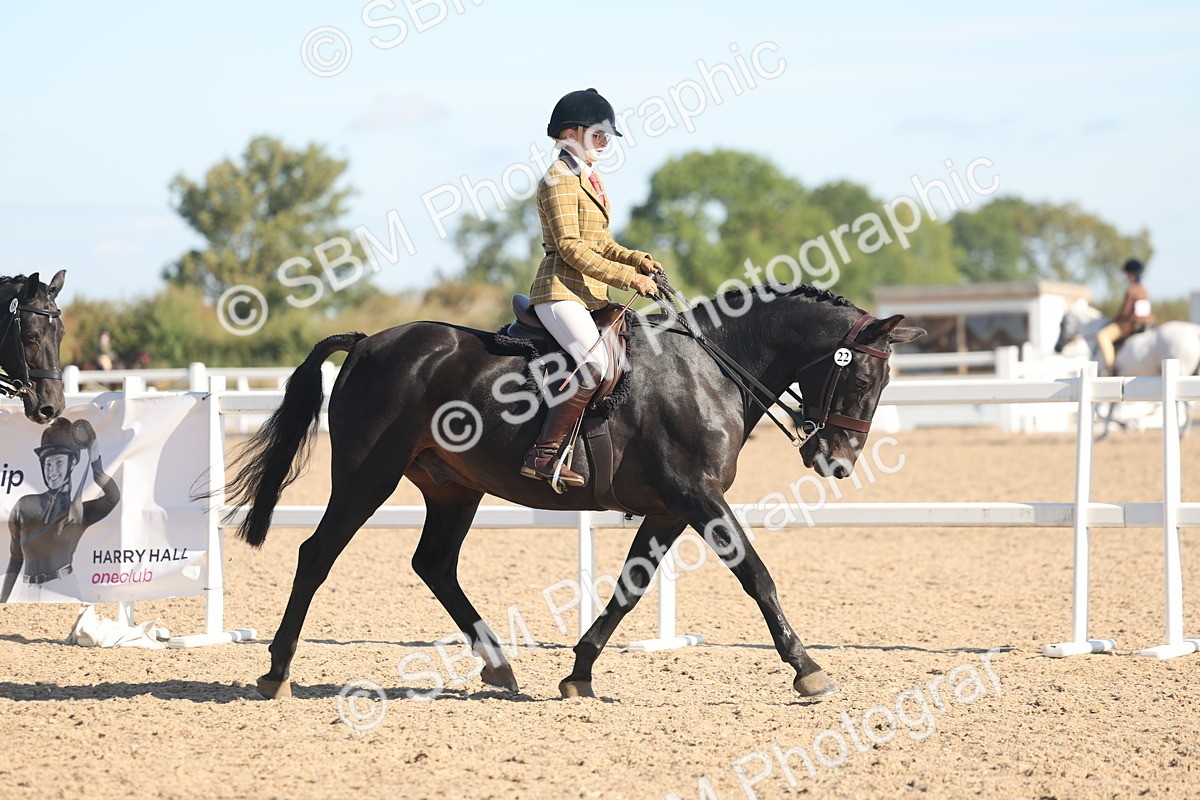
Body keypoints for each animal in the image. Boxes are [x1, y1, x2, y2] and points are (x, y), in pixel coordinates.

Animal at [222, 283, 924, 701]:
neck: (711, 370)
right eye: (863, 377)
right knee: (318, 555)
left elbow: (629, 591)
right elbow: (756, 574)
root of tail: (369, 342)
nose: (836, 462)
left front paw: (579, 672)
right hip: (368, 475)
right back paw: (277, 672)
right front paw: (808, 669)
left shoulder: (669, 511)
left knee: (435, 565)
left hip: (454, 489)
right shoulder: (697, 498)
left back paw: (499, 667)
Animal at [1055, 301, 1200, 436]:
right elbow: (1111, 408)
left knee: (1187, 405)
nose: (1057, 347)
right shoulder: (1113, 381)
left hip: (1183, 373)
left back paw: (1182, 433)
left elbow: (1101, 411)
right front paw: (1108, 431)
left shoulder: (1103, 377)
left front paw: (1123, 425)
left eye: (1061, 323)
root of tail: (1194, 332)